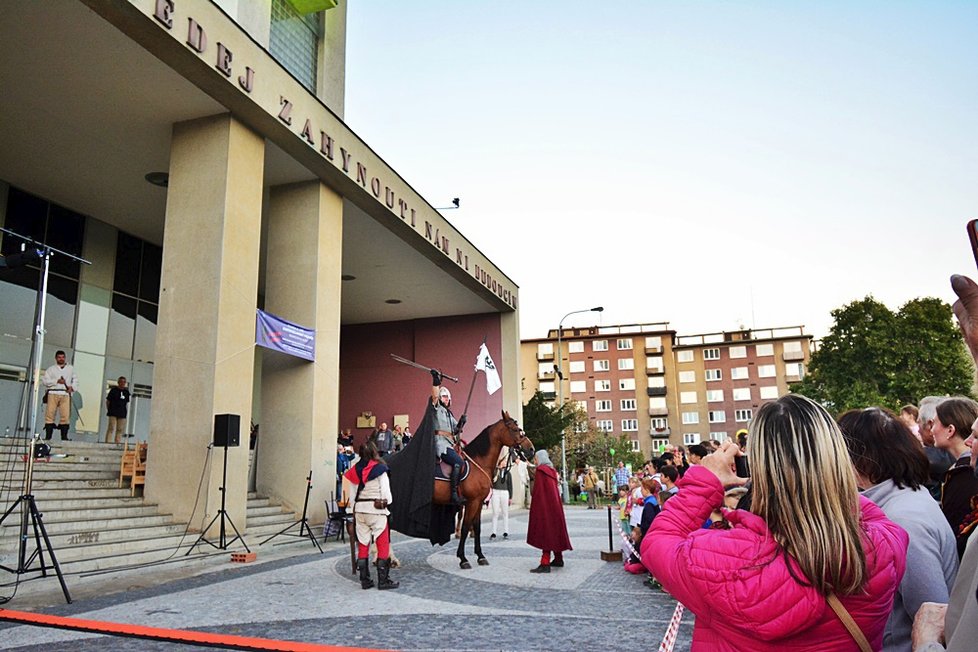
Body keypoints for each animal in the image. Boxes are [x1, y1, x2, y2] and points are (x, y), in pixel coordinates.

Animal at [430, 410, 528, 568]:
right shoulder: (472, 502)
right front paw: (463, 558)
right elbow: (465, 527)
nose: (531, 448)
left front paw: (480, 556)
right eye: (515, 429)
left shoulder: (479, 502)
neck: (478, 463)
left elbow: (477, 527)